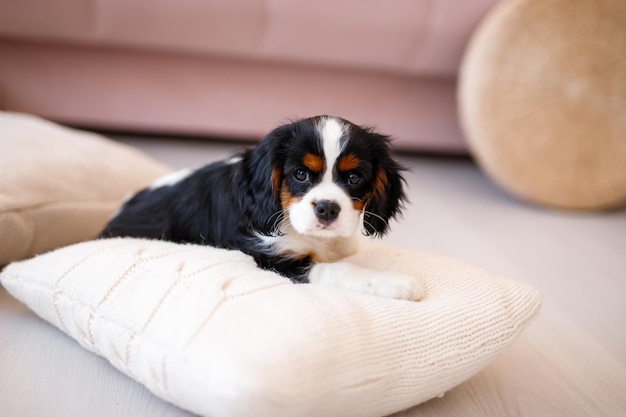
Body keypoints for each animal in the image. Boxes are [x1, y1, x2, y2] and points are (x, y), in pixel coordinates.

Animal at [100, 116, 422, 300]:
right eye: (300, 174)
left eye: (354, 178)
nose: (328, 209)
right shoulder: (273, 258)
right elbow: (338, 269)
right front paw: (395, 283)